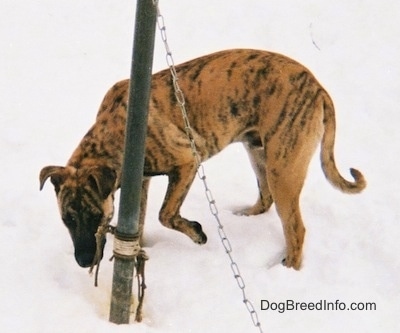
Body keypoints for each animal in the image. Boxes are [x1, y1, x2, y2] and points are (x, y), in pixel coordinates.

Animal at [39, 49, 366, 268]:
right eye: (67, 219)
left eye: (95, 216)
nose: (83, 261)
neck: (113, 132)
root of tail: (318, 88)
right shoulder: (140, 180)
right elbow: (141, 219)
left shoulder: (186, 161)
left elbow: (165, 214)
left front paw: (196, 233)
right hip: (259, 153)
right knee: (266, 199)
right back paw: (244, 215)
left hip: (283, 166)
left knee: (295, 228)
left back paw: (288, 270)